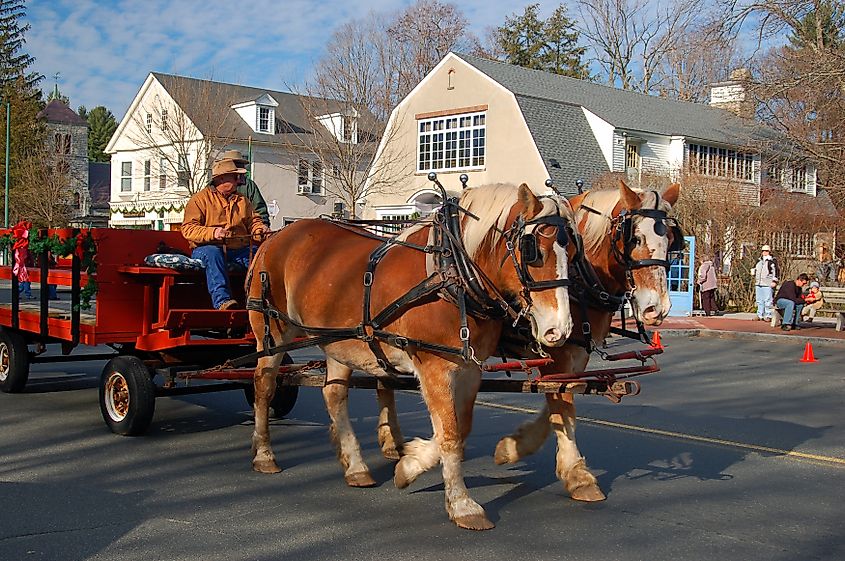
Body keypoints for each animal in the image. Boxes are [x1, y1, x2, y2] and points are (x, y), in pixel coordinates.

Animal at [244, 184, 572, 528]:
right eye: (533, 250)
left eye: (573, 252)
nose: (559, 329)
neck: (451, 273)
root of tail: (275, 237)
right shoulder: (434, 368)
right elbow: (449, 434)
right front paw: (462, 504)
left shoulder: (470, 368)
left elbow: (460, 428)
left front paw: (409, 466)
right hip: (272, 333)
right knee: (263, 386)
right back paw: (264, 454)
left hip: (339, 340)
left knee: (334, 395)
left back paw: (356, 467)